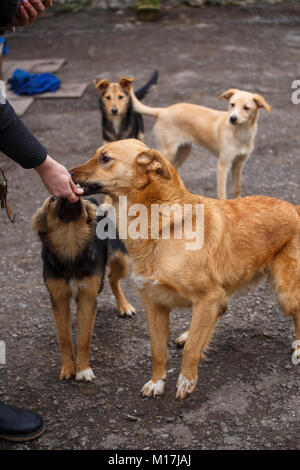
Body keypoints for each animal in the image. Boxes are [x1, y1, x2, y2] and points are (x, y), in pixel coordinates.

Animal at [32, 195, 135, 382]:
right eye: (53, 199)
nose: (73, 193)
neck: (71, 245)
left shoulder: (87, 298)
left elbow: (84, 338)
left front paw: (83, 370)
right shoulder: (58, 299)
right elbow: (64, 338)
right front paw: (67, 368)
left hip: (122, 261)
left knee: (113, 279)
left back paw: (124, 306)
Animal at [71, 140, 300, 400]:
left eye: (105, 158)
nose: (68, 173)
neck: (162, 227)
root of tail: (294, 207)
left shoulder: (208, 296)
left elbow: (191, 351)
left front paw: (186, 381)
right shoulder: (155, 304)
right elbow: (158, 350)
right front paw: (157, 382)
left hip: (286, 293)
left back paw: (298, 348)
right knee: (220, 310)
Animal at [127, 82, 270, 200]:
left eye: (246, 108)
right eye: (232, 104)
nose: (232, 118)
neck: (241, 133)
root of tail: (162, 111)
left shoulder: (239, 163)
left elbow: (237, 188)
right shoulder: (223, 165)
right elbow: (222, 192)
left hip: (184, 151)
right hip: (168, 152)